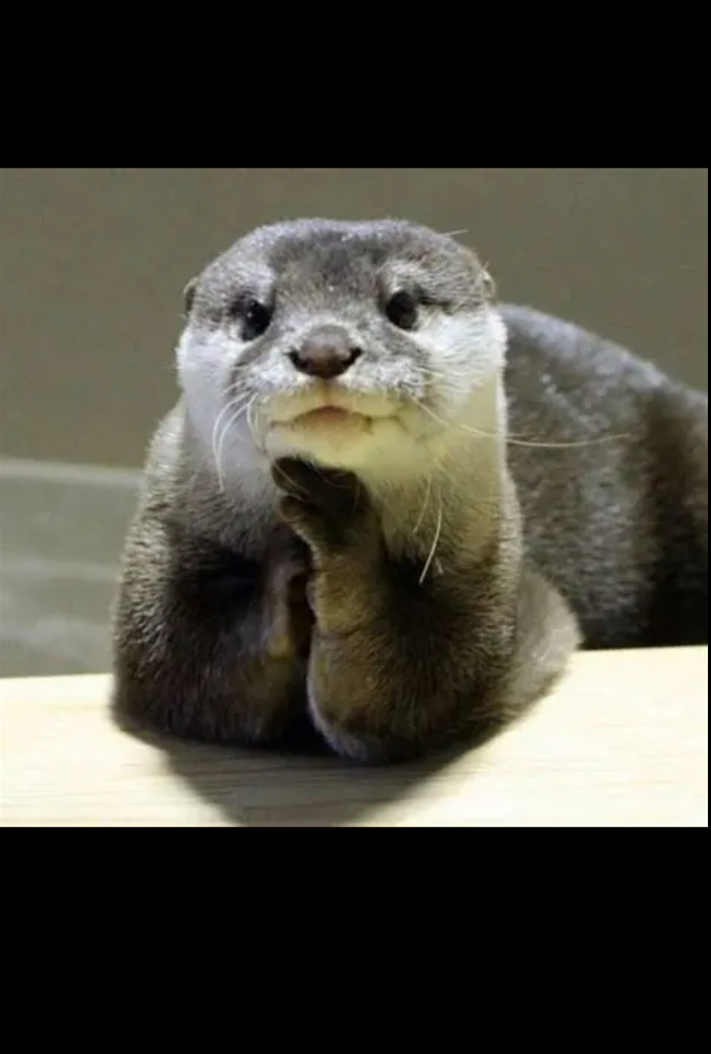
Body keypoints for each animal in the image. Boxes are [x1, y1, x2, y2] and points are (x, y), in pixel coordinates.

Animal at [111, 218, 708, 764]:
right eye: (256, 313)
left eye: (401, 306)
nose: (324, 349)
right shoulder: (167, 544)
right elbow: (187, 677)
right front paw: (286, 574)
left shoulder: (487, 566)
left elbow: (405, 694)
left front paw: (343, 545)